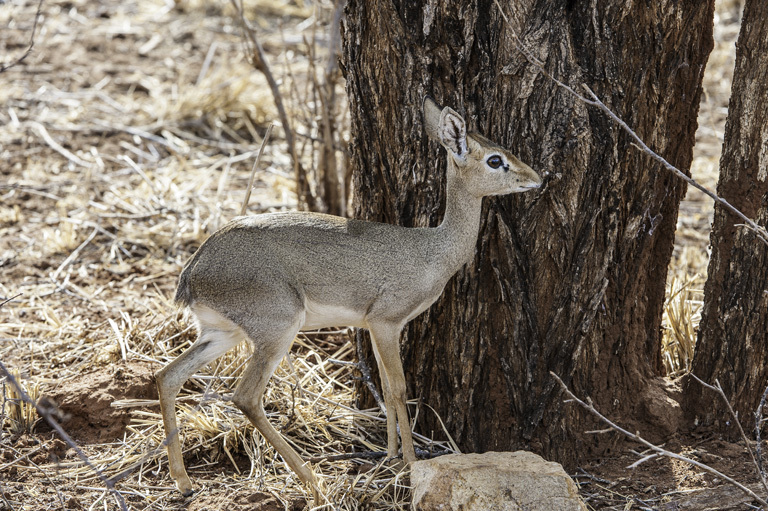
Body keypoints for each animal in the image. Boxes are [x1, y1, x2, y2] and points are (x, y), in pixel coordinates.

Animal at [154, 96, 540, 500]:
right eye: (495, 159)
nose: (537, 178)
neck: (432, 251)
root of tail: (193, 270)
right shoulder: (386, 322)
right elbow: (399, 388)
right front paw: (411, 462)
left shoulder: (373, 327)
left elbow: (385, 387)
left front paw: (390, 455)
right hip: (278, 330)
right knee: (245, 397)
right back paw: (312, 480)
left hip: (222, 333)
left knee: (167, 376)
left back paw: (184, 481)